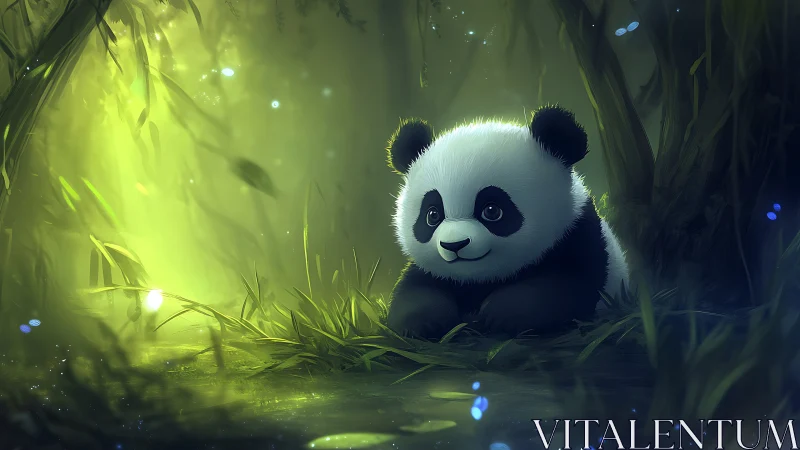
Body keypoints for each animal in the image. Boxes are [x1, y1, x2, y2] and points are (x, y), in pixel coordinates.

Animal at [384, 105, 629, 340]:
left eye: (492, 211)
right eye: (433, 215)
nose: (454, 245)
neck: (479, 279)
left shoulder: (578, 236)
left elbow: (564, 286)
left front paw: (501, 315)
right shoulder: (434, 273)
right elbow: (415, 290)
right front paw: (424, 324)